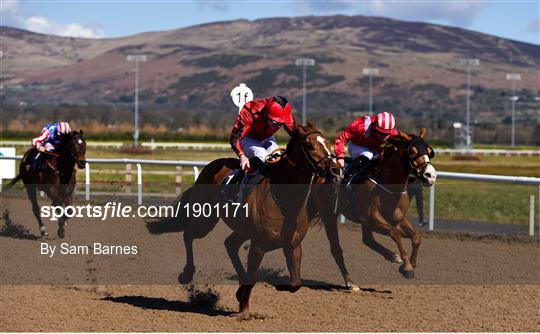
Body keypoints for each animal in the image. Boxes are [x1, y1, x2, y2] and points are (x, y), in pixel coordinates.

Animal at [177, 121, 346, 312]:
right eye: (309, 145)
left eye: (327, 142)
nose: (336, 170)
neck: (285, 201)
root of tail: (210, 166)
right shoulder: (258, 244)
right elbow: (253, 276)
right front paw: (244, 308)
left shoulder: (293, 244)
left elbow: (296, 283)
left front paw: (267, 288)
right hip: (205, 219)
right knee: (189, 235)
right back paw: (187, 273)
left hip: (242, 229)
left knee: (230, 244)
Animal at [318, 128, 436, 282]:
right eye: (412, 151)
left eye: (429, 151)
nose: (430, 175)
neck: (385, 184)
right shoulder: (371, 217)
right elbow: (395, 232)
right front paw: (407, 267)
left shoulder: (397, 217)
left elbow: (416, 237)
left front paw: (411, 262)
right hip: (328, 212)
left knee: (367, 239)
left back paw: (392, 255)